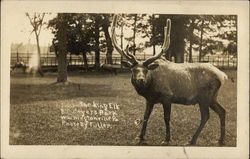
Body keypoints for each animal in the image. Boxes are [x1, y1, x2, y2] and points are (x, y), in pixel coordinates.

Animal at [112, 14, 228, 145]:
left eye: (146, 70)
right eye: (134, 70)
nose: (141, 80)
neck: (151, 88)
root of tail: (222, 75)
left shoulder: (167, 96)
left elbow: (166, 118)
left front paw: (167, 139)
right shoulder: (150, 99)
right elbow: (145, 116)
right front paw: (140, 136)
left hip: (205, 97)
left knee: (206, 116)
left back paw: (192, 140)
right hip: (212, 97)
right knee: (222, 111)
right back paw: (220, 139)